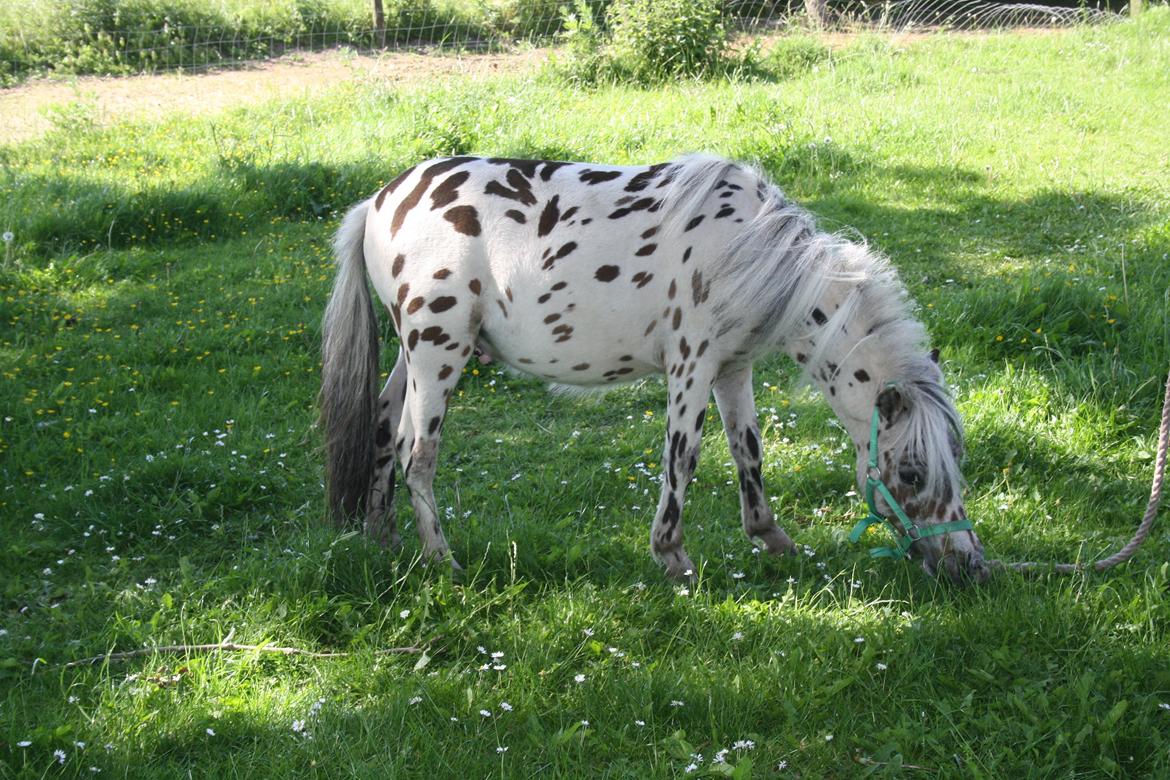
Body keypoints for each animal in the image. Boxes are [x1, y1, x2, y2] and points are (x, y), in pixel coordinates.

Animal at [320, 155, 987, 584]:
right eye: (909, 472)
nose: (971, 566)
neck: (751, 248)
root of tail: (378, 203)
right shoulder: (690, 368)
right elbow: (682, 459)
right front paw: (672, 557)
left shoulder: (732, 369)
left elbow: (748, 452)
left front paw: (772, 539)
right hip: (439, 355)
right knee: (418, 456)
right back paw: (442, 561)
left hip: (413, 358)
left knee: (384, 432)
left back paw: (383, 539)